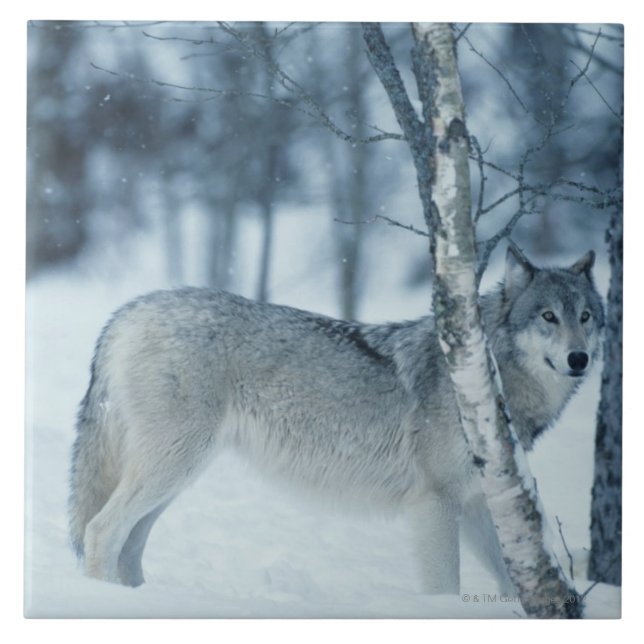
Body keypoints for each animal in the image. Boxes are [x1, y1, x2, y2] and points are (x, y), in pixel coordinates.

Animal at [69, 243, 603, 594]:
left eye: (586, 316)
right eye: (548, 316)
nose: (579, 359)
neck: (486, 378)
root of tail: (127, 312)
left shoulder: (475, 506)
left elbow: (514, 585)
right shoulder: (435, 503)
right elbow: (445, 588)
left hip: (177, 475)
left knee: (129, 544)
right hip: (172, 467)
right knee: (100, 530)